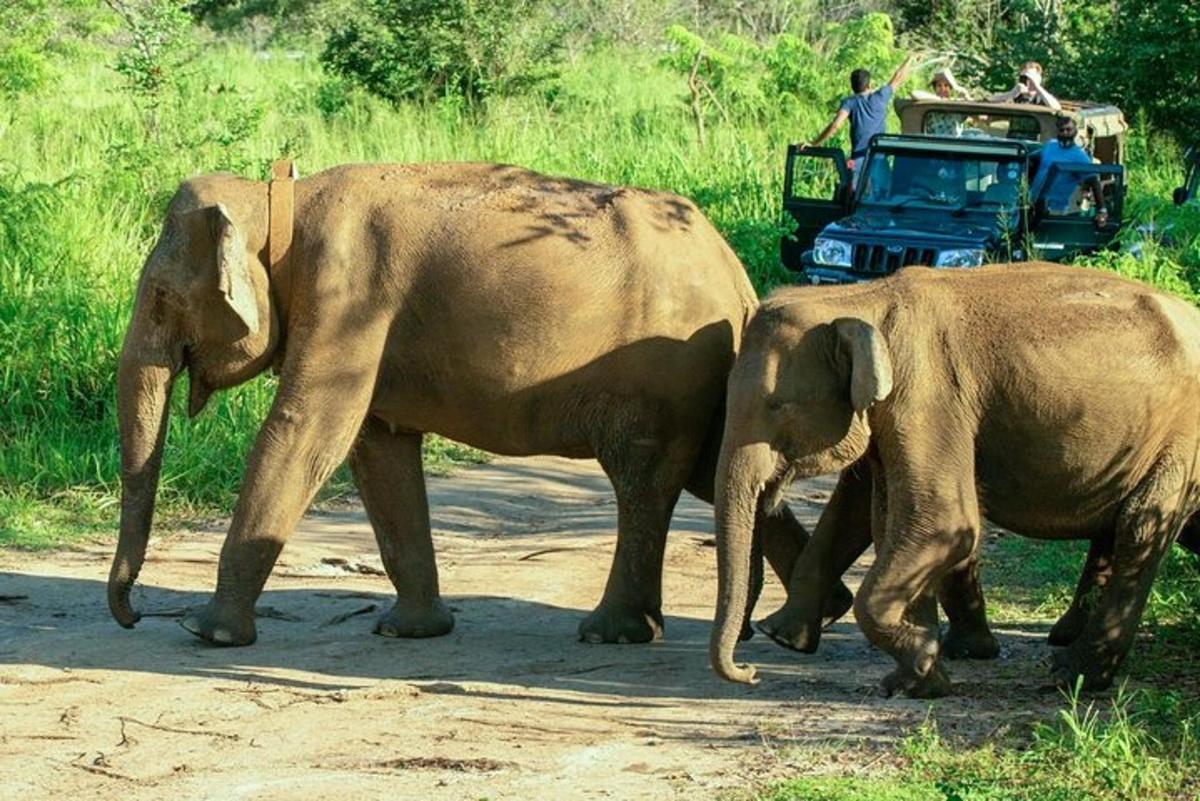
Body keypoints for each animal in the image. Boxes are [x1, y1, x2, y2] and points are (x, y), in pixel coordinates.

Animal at [108, 159, 849, 647]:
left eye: (162, 298)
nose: (133, 613)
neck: (279, 195)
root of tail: (738, 279)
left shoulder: (348, 298)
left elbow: (306, 434)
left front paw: (209, 635)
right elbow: (376, 449)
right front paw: (413, 632)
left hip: (665, 376)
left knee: (644, 481)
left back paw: (613, 633)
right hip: (702, 378)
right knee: (715, 473)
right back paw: (812, 617)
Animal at [710, 262, 1200, 695]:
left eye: (777, 407)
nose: (750, 670)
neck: (862, 298)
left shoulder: (927, 394)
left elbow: (942, 520)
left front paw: (923, 666)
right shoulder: (897, 411)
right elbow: (888, 519)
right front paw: (914, 677)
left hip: (1181, 437)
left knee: (1141, 525)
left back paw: (1071, 675)